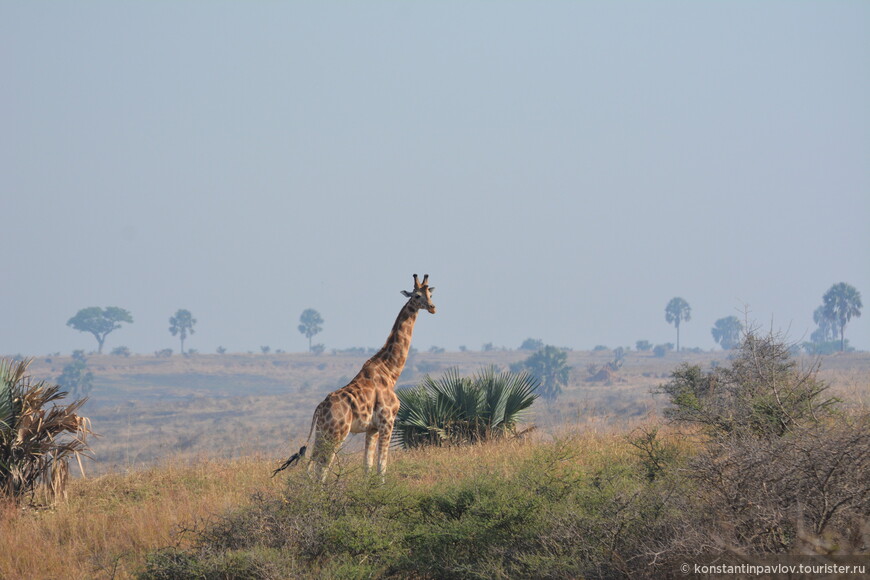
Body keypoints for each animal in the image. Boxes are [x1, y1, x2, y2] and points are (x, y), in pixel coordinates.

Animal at [278, 274, 440, 482]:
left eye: (430, 294)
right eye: (417, 295)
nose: (433, 307)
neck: (390, 371)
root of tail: (319, 409)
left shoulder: (371, 428)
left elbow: (367, 466)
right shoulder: (387, 421)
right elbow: (381, 465)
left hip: (322, 433)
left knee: (312, 465)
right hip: (337, 433)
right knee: (322, 468)